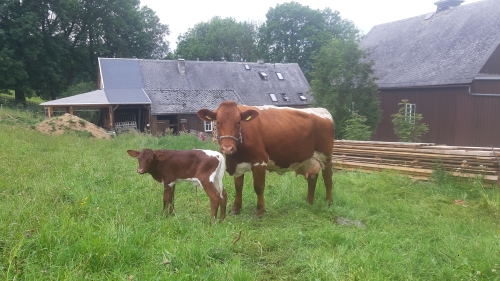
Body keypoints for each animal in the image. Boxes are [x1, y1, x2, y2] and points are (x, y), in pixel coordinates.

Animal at [197, 100, 334, 217]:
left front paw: (260, 212)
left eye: (238, 122)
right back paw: (309, 202)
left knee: (327, 179)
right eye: (218, 122)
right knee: (312, 178)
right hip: (309, 159)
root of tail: (321, 110)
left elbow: (258, 187)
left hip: (326, 156)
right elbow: (238, 187)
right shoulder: (238, 165)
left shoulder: (260, 161)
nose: (227, 148)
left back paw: (329, 203)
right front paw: (236, 209)